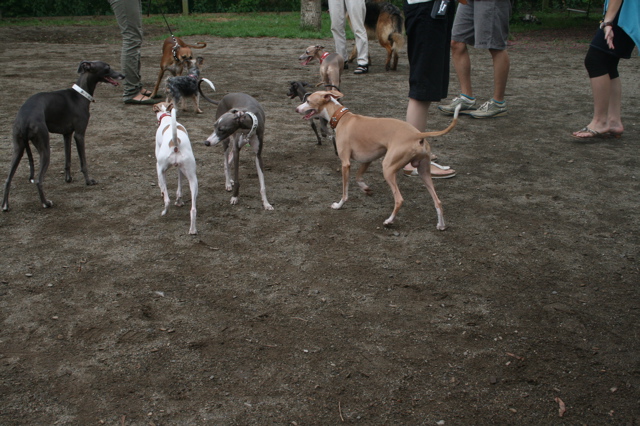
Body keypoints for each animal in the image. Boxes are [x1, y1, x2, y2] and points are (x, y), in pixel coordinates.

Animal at [2, 60, 124, 211]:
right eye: (107, 67)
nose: (123, 75)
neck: (81, 95)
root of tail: (26, 119)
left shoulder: (67, 134)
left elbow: (68, 159)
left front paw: (68, 178)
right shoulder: (79, 134)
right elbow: (83, 163)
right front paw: (89, 181)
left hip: (18, 148)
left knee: (7, 179)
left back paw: (5, 205)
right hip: (44, 147)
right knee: (38, 180)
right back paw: (46, 203)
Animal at [152, 101, 198, 235]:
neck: (167, 118)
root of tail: (175, 141)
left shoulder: (160, 168)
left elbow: (162, 187)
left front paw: (162, 192)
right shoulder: (180, 169)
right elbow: (179, 188)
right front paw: (179, 201)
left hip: (160, 170)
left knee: (167, 200)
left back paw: (164, 212)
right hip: (193, 179)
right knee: (193, 209)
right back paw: (192, 230)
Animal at [296, 90, 460, 230]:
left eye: (308, 101)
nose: (297, 109)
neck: (342, 117)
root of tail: (417, 135)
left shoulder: (345, 163)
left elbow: (345, 191)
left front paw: (339, 205)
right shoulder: (367, 159)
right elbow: (358, 177)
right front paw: (366, 189)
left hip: (388, 168)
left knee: (399, 199)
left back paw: (389, 221)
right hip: (423, 171)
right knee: (438, 201)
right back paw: (441, 225)